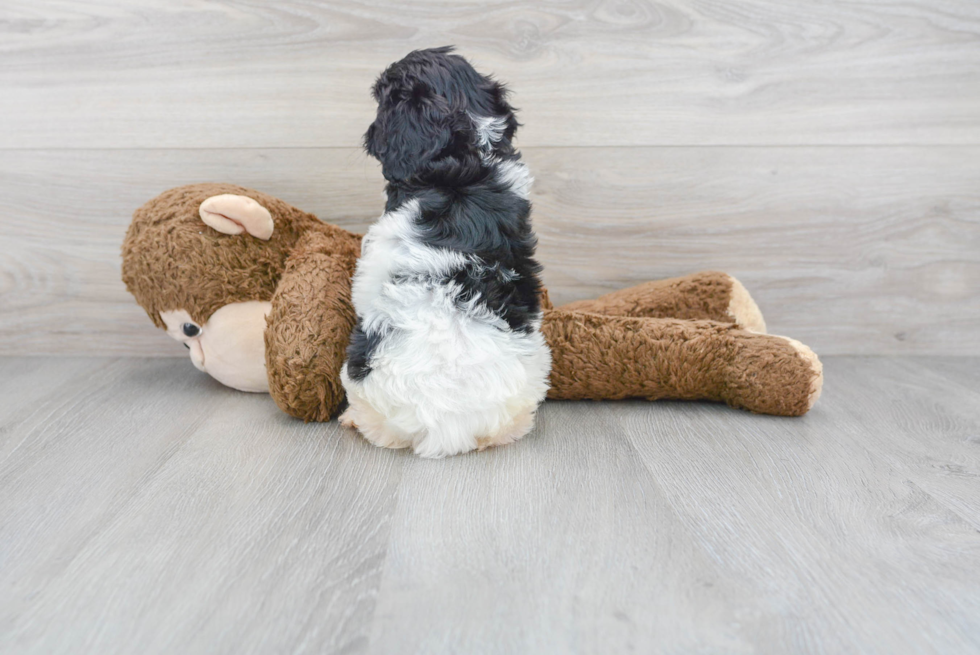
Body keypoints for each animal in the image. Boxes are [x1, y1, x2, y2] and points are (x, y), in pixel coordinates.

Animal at [338, 46, 552, 458]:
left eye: (383, 99)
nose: (370, 133)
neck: (470, 155)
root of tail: (447, 430)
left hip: (358, 373)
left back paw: (351, 419)